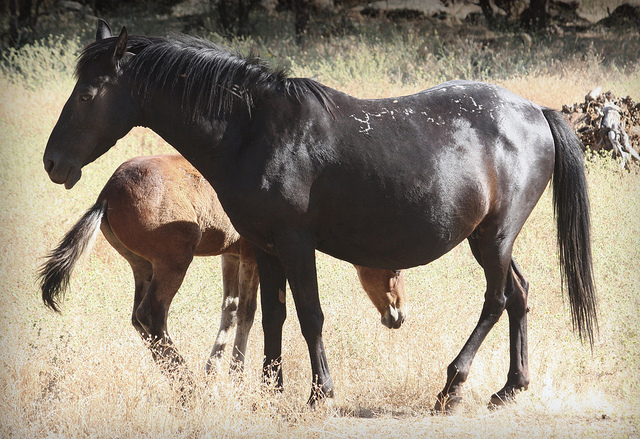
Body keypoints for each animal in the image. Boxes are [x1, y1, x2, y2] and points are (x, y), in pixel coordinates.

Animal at [43, 20, 596, 412]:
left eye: (88, 94)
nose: (52, 162)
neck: (253, 130)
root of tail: (534, 111)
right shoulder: (263, 246)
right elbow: (272, 316)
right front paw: (269, 391)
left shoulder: (294, 242)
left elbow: (310, 315)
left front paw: (319, 393)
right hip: (489, 239)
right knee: (519, 295)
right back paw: (510, 388)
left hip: (493, 238)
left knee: (496, 300)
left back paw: (452, 388)